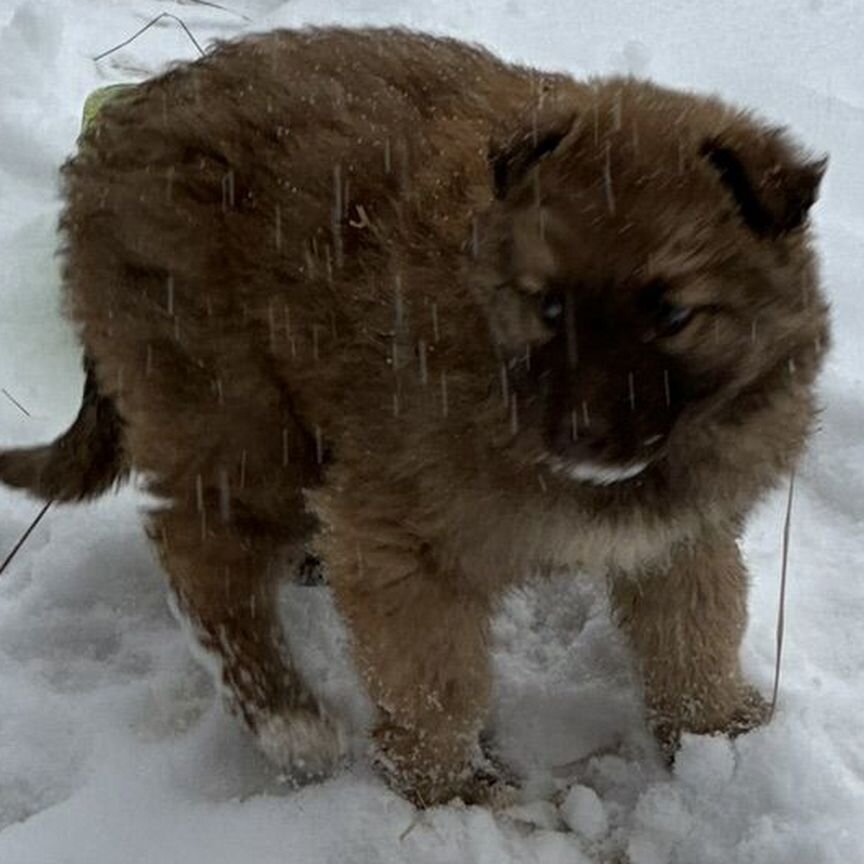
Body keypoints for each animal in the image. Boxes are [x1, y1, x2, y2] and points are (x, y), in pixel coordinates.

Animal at [0, 27, 832, 808]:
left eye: (674, 316)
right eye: (548, 305)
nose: (584, 440)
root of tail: (129, 115)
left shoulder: (680, 533)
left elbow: (695, 631)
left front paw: (717, 738)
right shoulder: (404, 536)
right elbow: (435, 676)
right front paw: (448, 786)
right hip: (232, 406)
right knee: (202, 548)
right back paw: (288, 723)